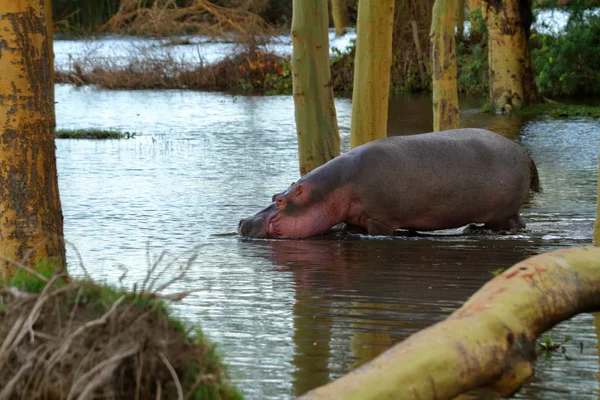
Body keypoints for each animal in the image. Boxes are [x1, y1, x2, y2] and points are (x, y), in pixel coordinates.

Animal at [238, 128, 540, 239]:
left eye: (281, 201)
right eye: (274, 194)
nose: (242, 221)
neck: (338, 185)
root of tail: (522, 150)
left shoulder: (379, 220)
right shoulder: (355, 220)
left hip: (503, 212)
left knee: (514, 224)